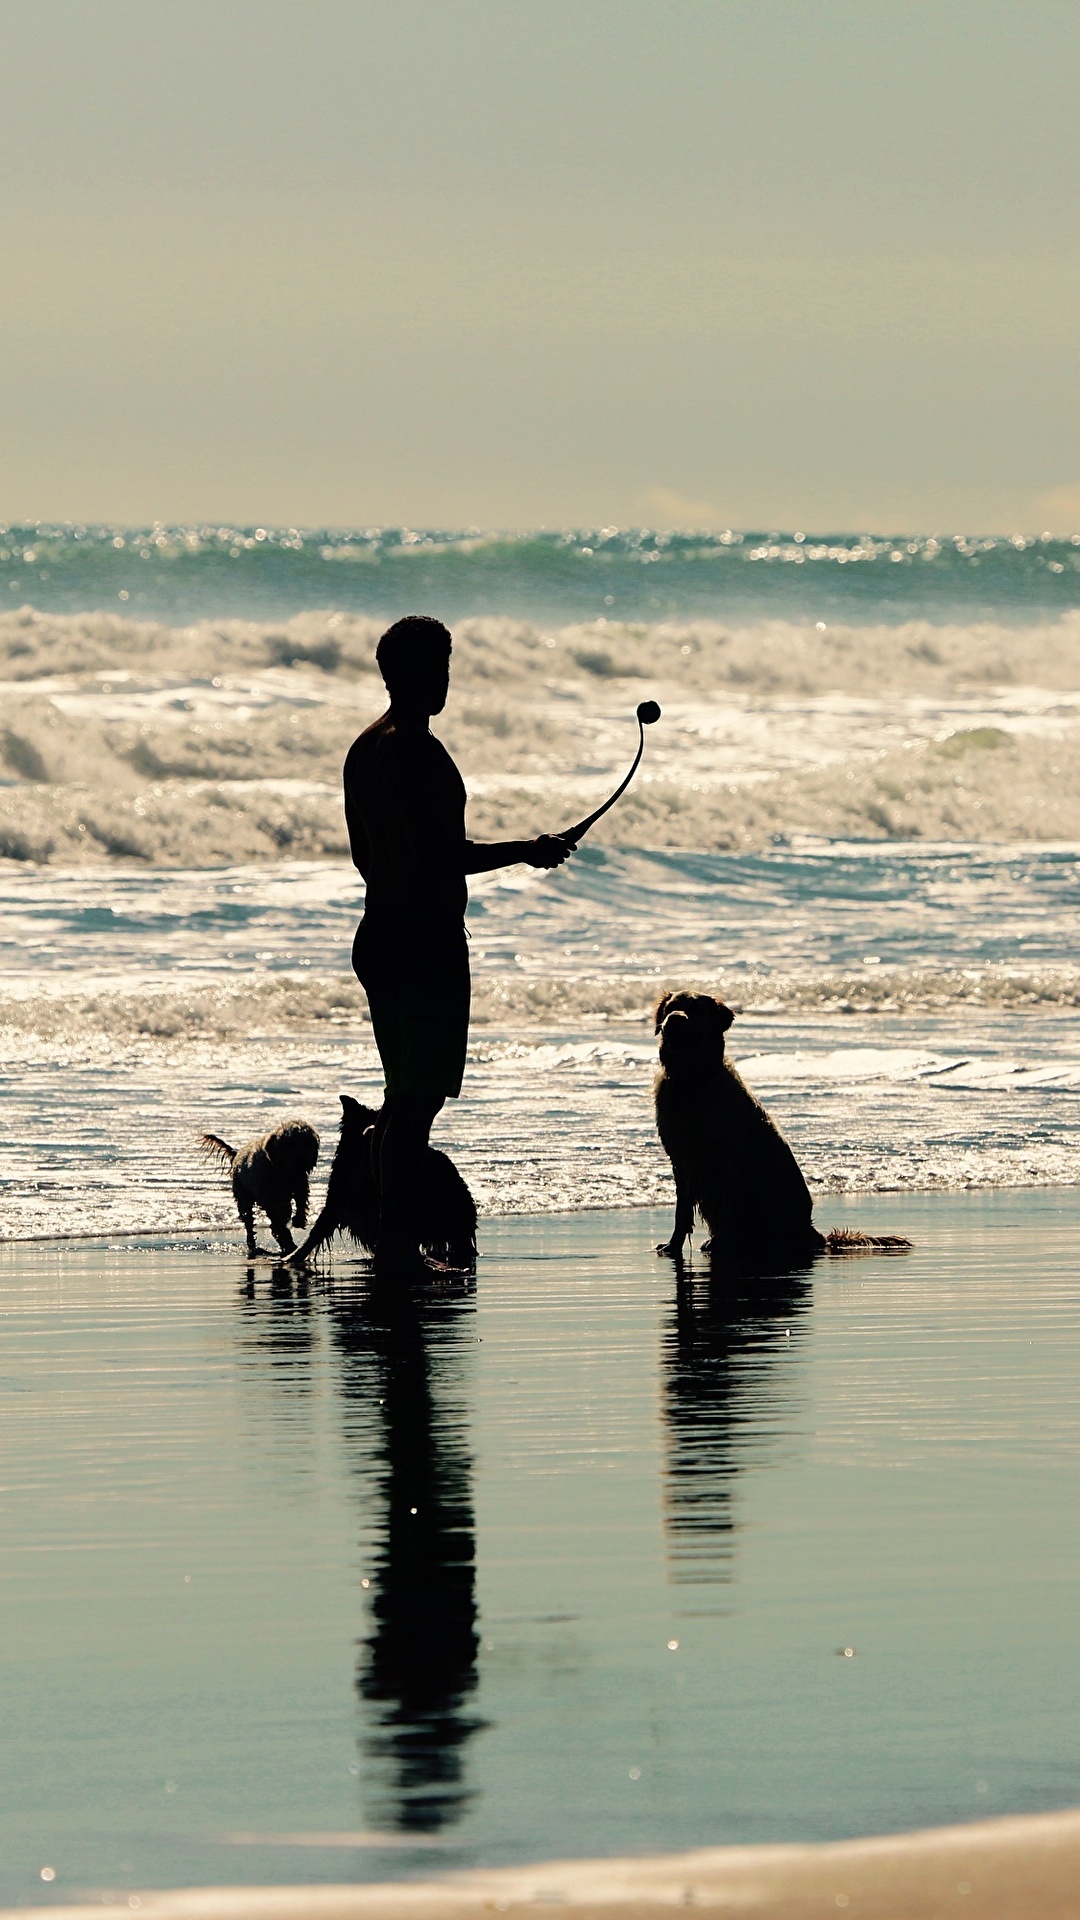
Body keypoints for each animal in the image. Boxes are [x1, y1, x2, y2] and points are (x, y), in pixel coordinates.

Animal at [200, 1113, 319, 1259]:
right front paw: (288, 1241)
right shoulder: (269, 1198)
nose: (303, 1158)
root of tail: (236, 1154)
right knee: (250, 1224)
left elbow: (301, 1201)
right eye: (290, 1143)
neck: (282, 1170)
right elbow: (277, 1221)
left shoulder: (299, 1185)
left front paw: (299, 1220)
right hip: (243, 1199)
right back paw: (257, 1246)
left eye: (308, 1142)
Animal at [645, 990, 907, 1274]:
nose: (673, 1019)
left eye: (696, 1010)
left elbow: (727, 1207)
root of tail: (816, 1235)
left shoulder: (729, 1160)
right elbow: (681, 1213)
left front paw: (721, 1244)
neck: (691, 1080)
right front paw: (672, 1246)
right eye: (671, 1007)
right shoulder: (681, 1159)